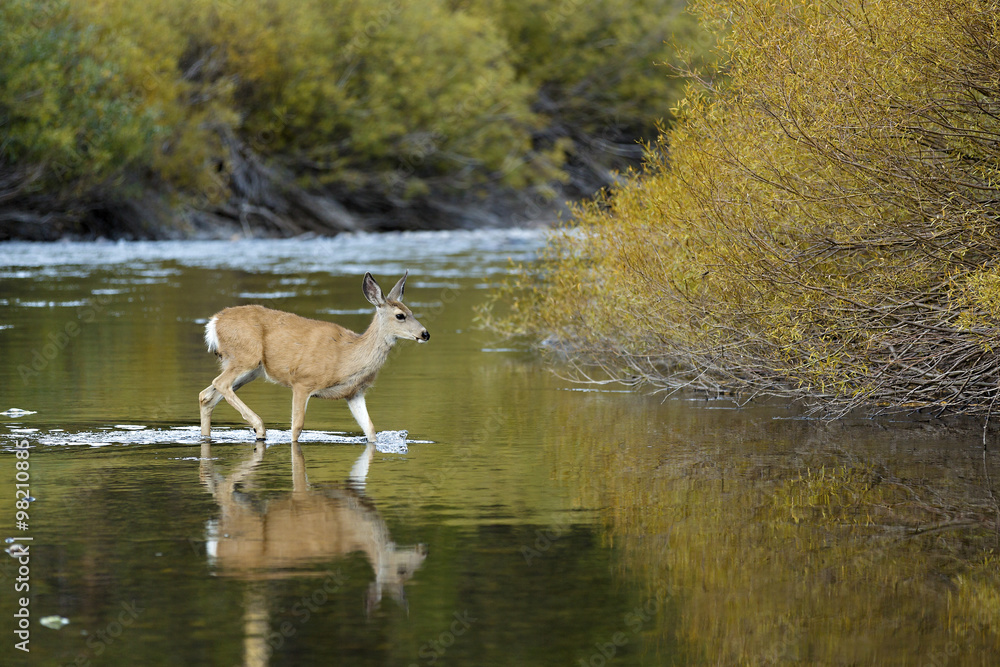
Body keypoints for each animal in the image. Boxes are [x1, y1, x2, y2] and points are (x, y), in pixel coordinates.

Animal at [199, 272, 429, 443]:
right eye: (400, 316)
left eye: (411, 311)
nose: (425, 333)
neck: (348, 356)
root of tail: (214, 322)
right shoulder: (302, 381)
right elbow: (297, 428)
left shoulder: (354, 393)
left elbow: (371, 430)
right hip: (245, 357)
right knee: (219, 383)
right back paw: (260, 428)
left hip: (250, 370)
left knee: (206, 396)